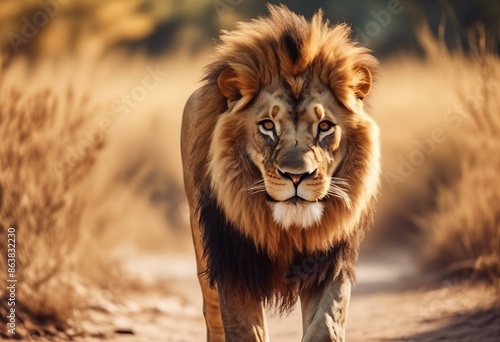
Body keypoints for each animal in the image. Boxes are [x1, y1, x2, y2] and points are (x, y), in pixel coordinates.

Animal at [182, 5, 380, 342]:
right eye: (267, 126)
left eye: (324, 126)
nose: (296, 176)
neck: (287, 229)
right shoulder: (232, 263)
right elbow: (244, 330)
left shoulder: (330, 259)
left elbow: (326, 322)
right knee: (212, 313)